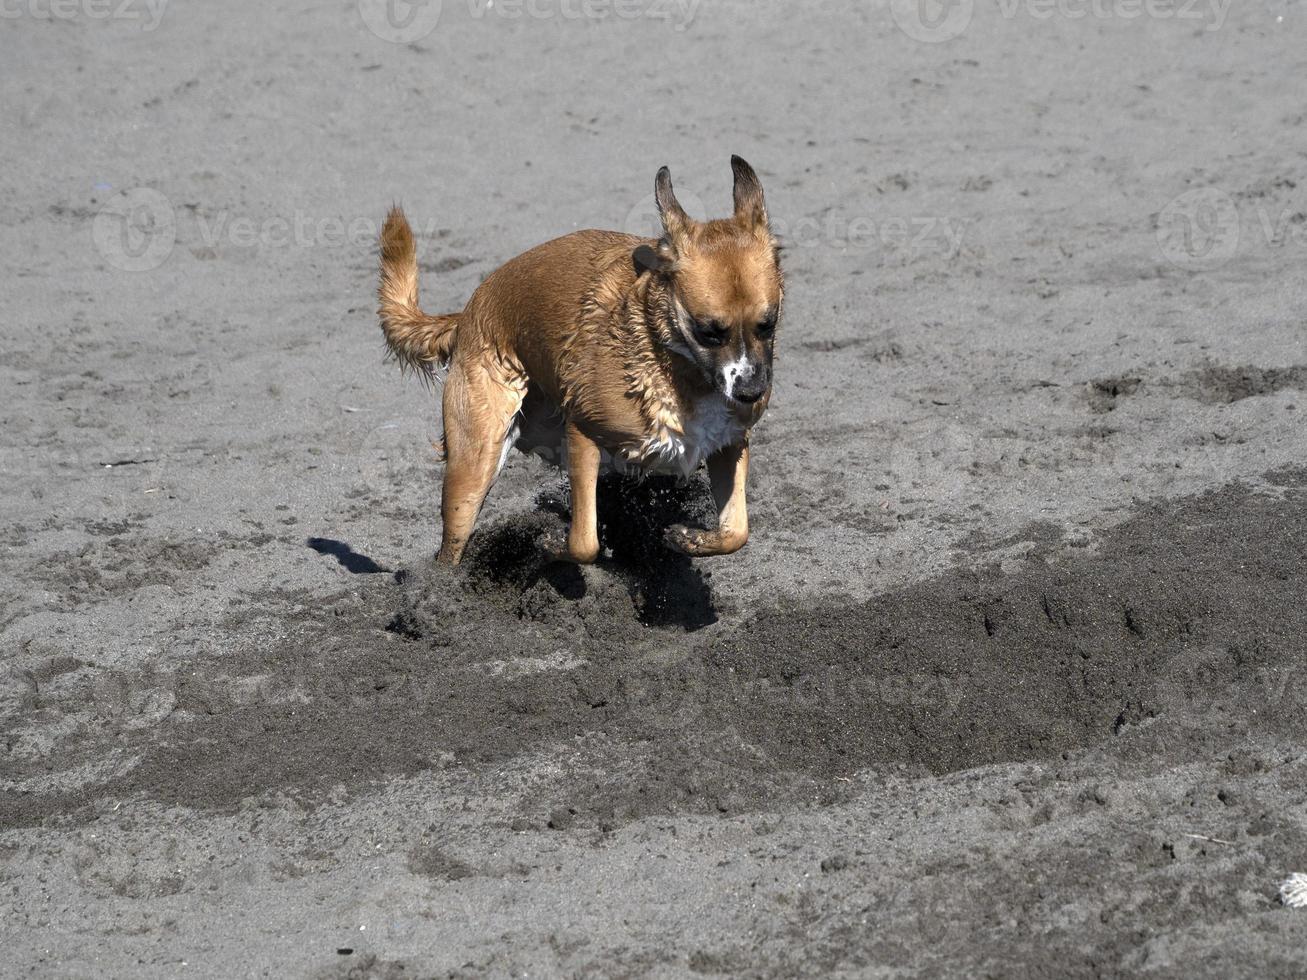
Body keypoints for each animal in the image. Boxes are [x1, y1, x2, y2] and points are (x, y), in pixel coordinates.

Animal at [379, 157, 784, 564]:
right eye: (708, 332)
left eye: (768, 324)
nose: (751, 391)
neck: (677, 371)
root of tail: (467, 314)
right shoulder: (583, 432)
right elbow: (584, 543)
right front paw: (552, 543)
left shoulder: (729, 444)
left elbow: (737, 532)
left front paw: (689, 539)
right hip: (474, 466)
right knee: (452, 547)